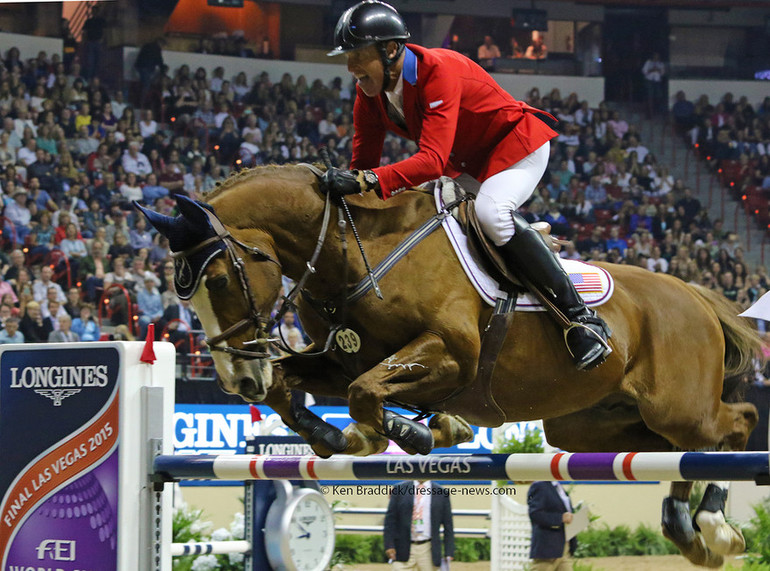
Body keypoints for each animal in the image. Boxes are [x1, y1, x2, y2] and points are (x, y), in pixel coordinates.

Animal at [136, 165, 756, 568]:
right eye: (182, 293)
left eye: (219, 280)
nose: (237, 380)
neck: (351, 248)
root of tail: (697, 294)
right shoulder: (340, 356)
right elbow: (299, 388)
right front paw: (337, 435)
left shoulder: (453, 353)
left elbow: (366, 393)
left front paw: (412, 431)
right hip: (591, 425)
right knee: (682, 449)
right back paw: (687, 530)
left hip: (677, 404)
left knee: (736, 423)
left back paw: (715, 529)